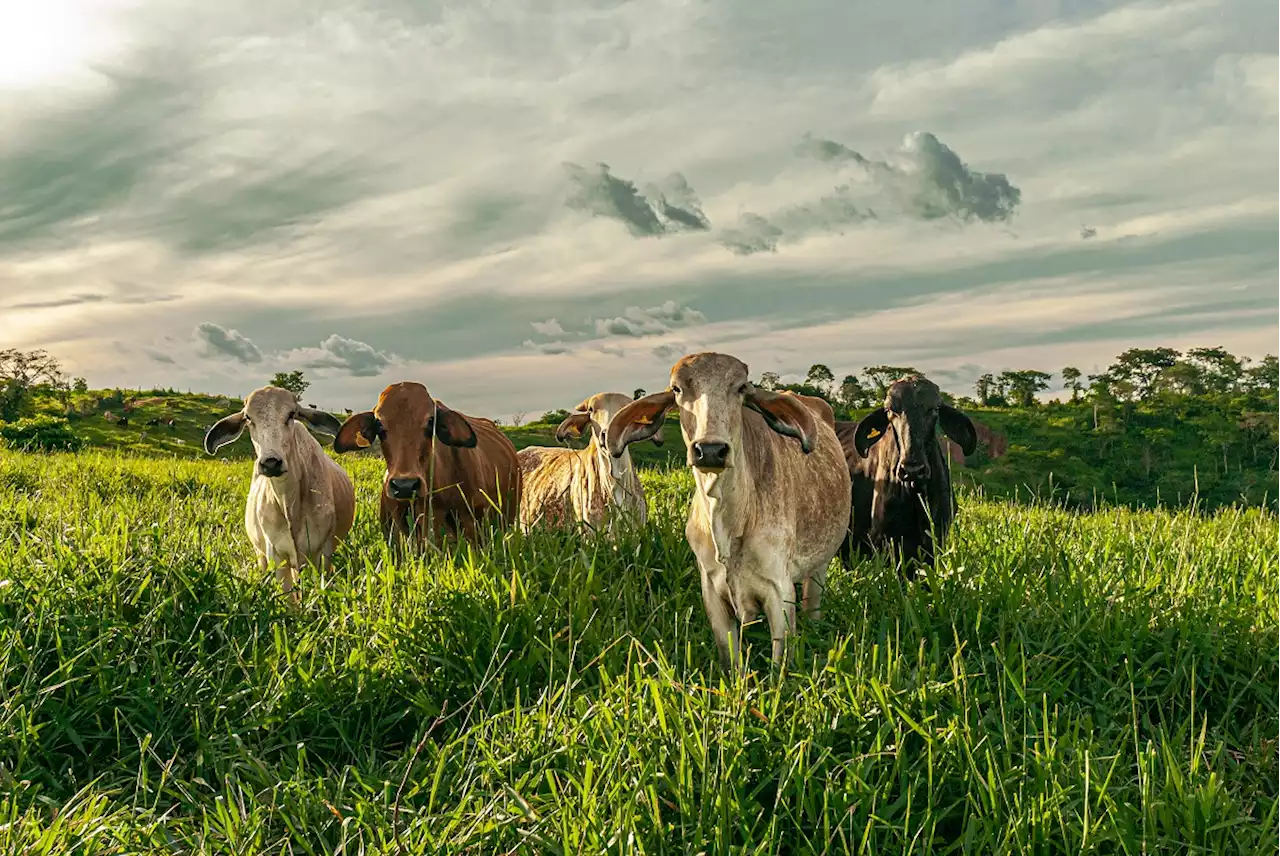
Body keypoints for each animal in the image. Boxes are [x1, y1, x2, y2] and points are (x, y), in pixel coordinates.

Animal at [204, 386, 355, 601]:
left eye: (291, 414)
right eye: (248, 418)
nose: (271, 462)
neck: (290, 505)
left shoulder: (320, 555)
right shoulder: (276, 556)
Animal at [606, 353, 849, 665]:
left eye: (742, 388)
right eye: (677, 389)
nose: (710, 450)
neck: (728, 525)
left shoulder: (779, 591)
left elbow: (780, 664)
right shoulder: (712, 592)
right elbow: (731, 661)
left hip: (819, 566)